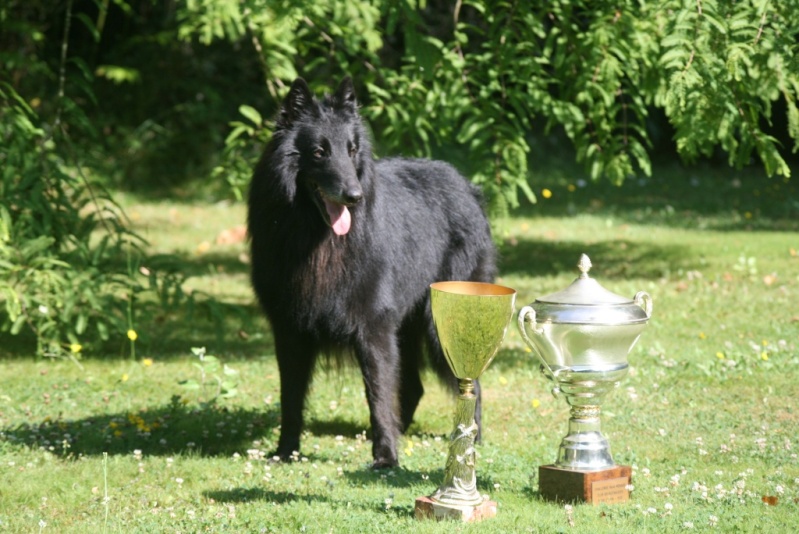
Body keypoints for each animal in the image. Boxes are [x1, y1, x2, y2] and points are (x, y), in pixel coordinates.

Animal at [250, 77, 496, 472]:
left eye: (351, 150)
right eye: (319, 152)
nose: (354, 195)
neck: (318, 241)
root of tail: (467, 187)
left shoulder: (372, 328)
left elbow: (378, 396)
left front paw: (386, 458)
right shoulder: (289, 331)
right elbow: (291, 397)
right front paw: (285, 451)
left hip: (438, 323)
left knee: (470, 384)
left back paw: (469, 439)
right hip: (408, 326)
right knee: (413, 387)